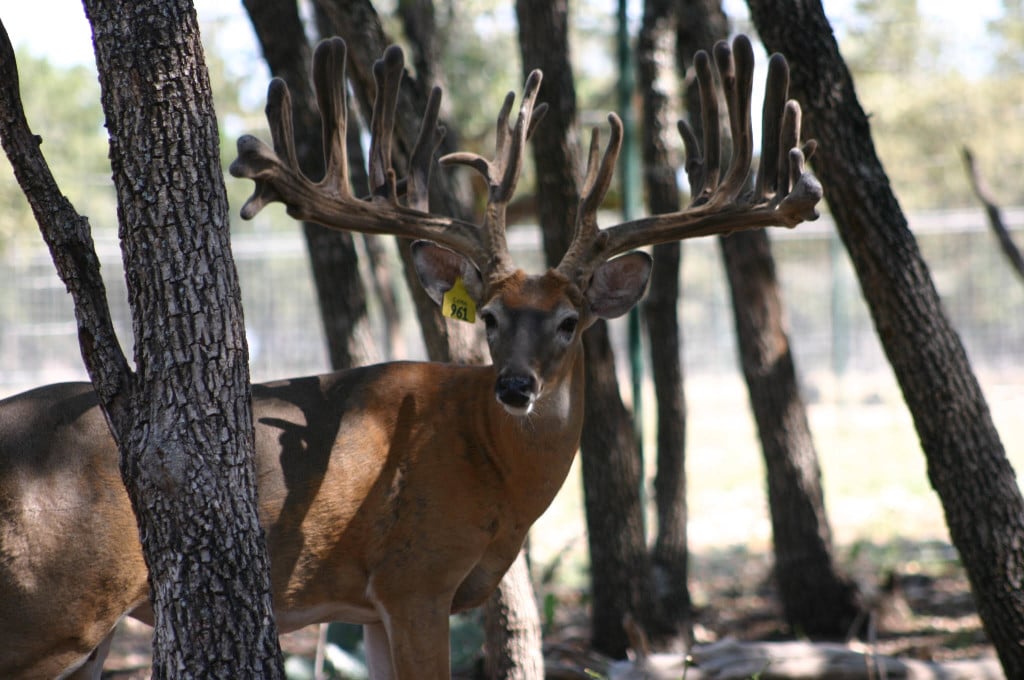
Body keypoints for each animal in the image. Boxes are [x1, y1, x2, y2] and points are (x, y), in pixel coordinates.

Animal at [0, 35, 815, 680]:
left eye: (569, 322)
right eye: (490, 318)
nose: (516, 386)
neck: (492, 470)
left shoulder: (369, 608)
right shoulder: (414, 579)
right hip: (50, 609)